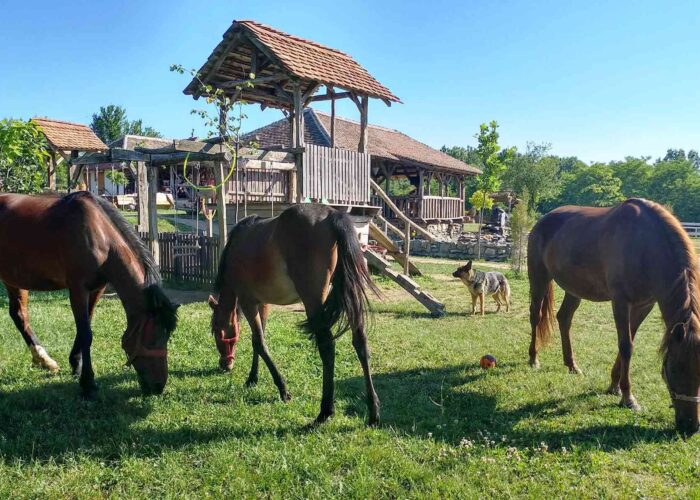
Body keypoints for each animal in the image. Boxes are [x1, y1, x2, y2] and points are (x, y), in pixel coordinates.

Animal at [0, 191, 178, 398]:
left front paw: (76, 364)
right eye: (153, 337)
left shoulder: (96, 289)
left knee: (19, 315)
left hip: (14, 279)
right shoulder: (78, 289)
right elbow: (86, 333)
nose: (158, 386)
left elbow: (86, 325)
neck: (100, 236)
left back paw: (44, 360)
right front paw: (88, 383)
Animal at [208, 203, 380, 426]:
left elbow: (259, 343)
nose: (224, 364)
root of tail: (332, 215)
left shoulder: (248, 302)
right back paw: (373, 412)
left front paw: (282, 389)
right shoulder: (263, 303)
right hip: (350, 296)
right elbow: (257, 340)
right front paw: (252, 378)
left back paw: (325, 412)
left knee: (327, 347)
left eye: (216, 330)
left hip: (313, 300)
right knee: (360, 342)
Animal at [528, 197, 700, 432]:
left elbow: (628, 342)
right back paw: (533, 359)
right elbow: (626, 346)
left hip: (575, 289)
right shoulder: (620, 302)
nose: (691, 426)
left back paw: (572, 365)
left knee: (564, 318)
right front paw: (628, 398)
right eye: (674, 369)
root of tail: (542, 221)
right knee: (535, 317)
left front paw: (614, 386)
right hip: (539, 278)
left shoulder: (644, 305)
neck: (645, 245)